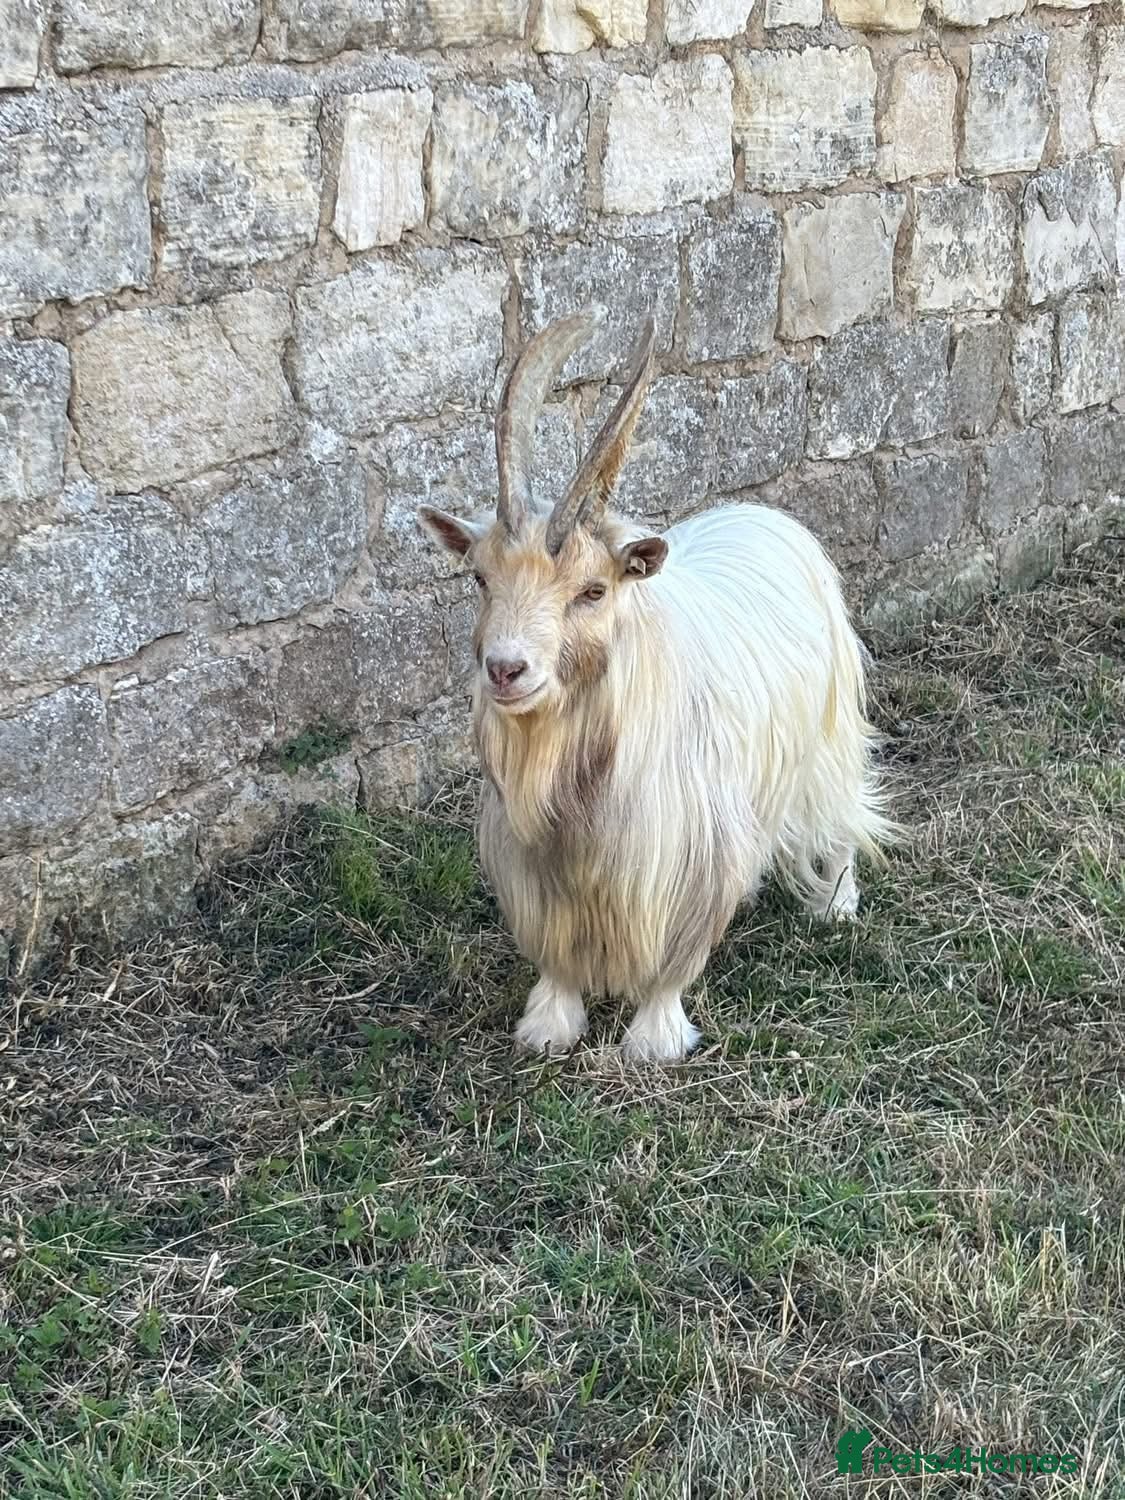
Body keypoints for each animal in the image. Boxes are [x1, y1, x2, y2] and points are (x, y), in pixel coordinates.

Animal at [419, 310, 893, 1062]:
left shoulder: (691, 845)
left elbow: (678, 949)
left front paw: (655, 1037)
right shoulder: (533, 863)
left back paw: (837, 901)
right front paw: (549, 1024)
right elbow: (554, 954)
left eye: (592, 590)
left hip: (828, 729)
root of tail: (762, 515)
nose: (505, 669)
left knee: (841, 807)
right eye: (480, 579)